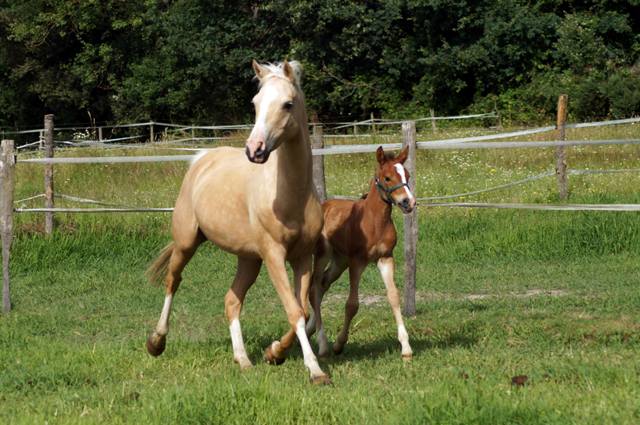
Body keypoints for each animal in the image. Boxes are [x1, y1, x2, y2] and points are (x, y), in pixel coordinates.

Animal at [145, 60, 330, 384]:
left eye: (288, 104)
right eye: (255, 103)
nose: (254, 150)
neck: (289, 196)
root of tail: (201, 159)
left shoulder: (302, 257)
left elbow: (303, 310)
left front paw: (274, 353)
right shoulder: (274, 255)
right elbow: (294, 311)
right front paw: (316, 370)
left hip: (248, 259)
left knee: (232, 300)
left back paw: (243, 359)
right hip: (187, 242)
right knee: (173, 281)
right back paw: (156, 342)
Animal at [308, 145, 418, 358]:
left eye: (407, 175)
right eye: (387, 178)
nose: (408, 202)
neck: (374, 221)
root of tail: (324, 206)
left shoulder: (385, 258)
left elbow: (393, 296)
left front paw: (406, 347)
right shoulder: (356, 261)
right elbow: (352, 304)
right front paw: (339, 344)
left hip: (339, 260)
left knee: (323, 284)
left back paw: (308, 330)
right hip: (323, 255)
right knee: (315, 288)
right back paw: (323, 344)